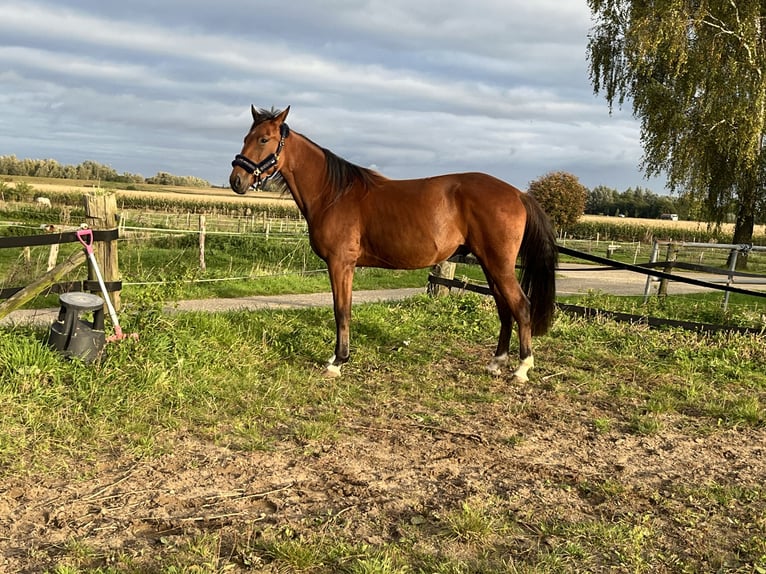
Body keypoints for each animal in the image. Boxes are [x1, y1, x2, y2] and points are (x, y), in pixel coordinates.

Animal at [228, 106, 560, 384]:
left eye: (264, 139)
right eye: (245, 137)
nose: (236, 180)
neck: (333, 194)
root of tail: (518, 194)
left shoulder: (340, 263)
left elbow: (341, 310)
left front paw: (337, 362)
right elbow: (344, 309)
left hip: (498, 265)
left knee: (521, 306)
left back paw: (522, 369)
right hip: (490, 265)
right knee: (505, 309)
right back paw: (496, 362)